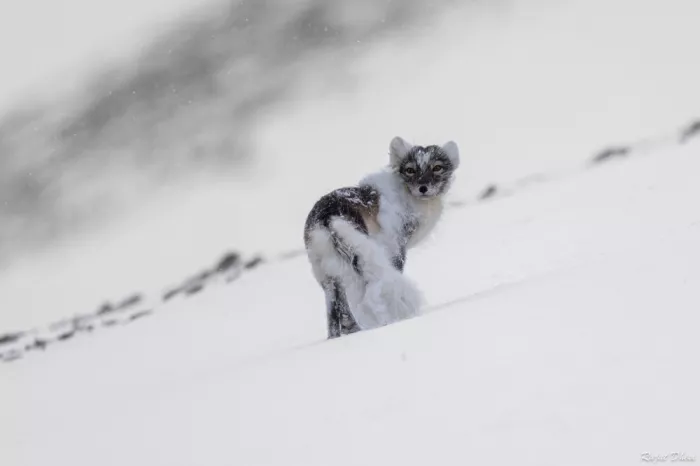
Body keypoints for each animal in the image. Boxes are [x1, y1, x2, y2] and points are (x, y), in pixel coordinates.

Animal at [303, 136, 460, 339]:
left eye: (437, 167)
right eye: (410, 170)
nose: (423, 188)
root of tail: (327, 215)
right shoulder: (395, 246)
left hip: (324, 271)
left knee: (335, 308)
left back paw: (340, 336)